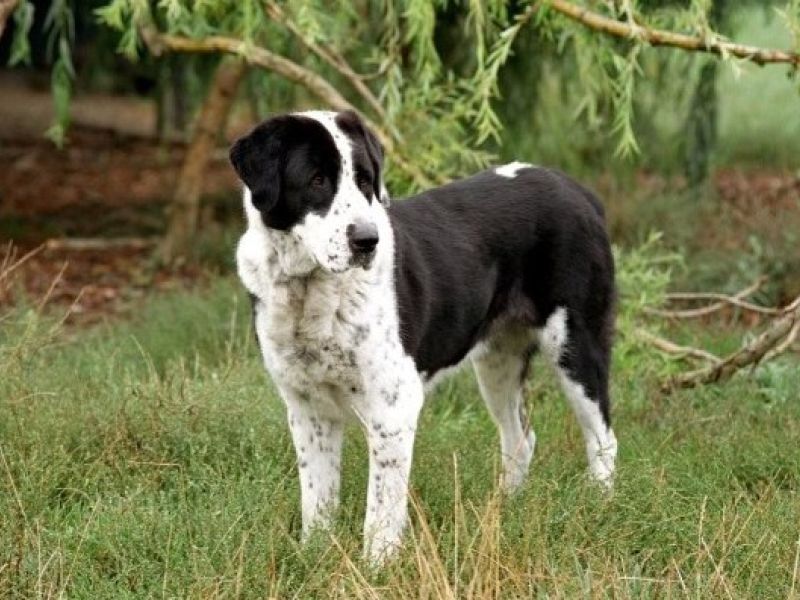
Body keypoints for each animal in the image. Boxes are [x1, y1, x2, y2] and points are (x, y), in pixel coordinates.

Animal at [230, 110, 617, 562]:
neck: (310, 291)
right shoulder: (307, 408)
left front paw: (376, 567)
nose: (367, 241)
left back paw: (598, 509)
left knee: (603, 439)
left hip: (575, 347)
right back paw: (502, 511)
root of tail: (579, 192)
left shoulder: (392, 408)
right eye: (316, 180)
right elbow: (317, 500)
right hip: (497, 362)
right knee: (521, 439)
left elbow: (380, 510)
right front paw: (315, 559)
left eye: (366, 181)